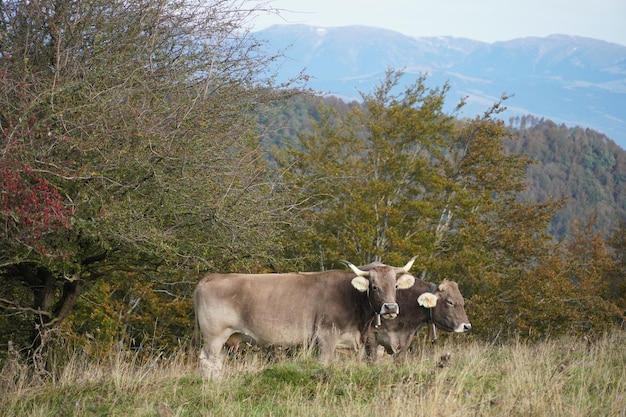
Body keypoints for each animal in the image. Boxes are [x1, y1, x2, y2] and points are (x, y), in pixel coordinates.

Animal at [190, 258, 414, 376]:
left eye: (395, 286)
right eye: (374, 286)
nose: (391, 307)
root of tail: (213, 277)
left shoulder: (357, 341)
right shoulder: (326, 336)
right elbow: (325, 363)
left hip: (228, 339)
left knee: (217, 363)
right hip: (214, 336)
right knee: (207, 361)